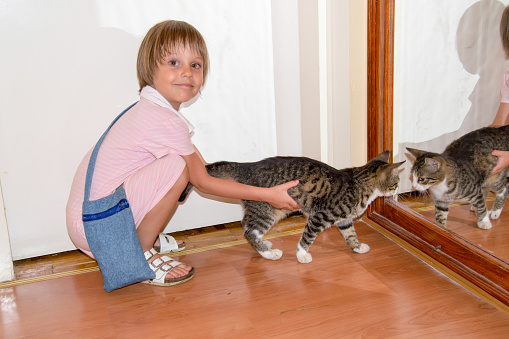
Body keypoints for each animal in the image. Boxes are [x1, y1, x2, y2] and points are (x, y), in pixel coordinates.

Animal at [179, 151, 404, 266]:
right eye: (396, 181)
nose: (399, 190)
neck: (359, 183)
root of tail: (248, 166)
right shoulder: (320, 216)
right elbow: (307, 237)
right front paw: (302, 255)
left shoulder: (344, 219)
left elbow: (350, 234)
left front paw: (357, 247)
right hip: (269, 210)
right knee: (248, 231)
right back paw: (268, 253)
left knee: (246, 225)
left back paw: (264, 244)